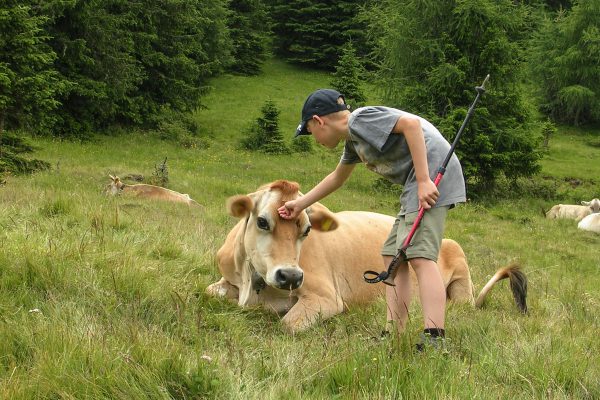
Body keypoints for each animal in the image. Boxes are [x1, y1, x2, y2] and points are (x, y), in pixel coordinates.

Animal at [209, 180, 528, 332]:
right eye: (262, 221)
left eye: (307, 229)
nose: (290, 275)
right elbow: (212, 291)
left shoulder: (326, 296)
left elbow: (287, 325)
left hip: (458, 261)